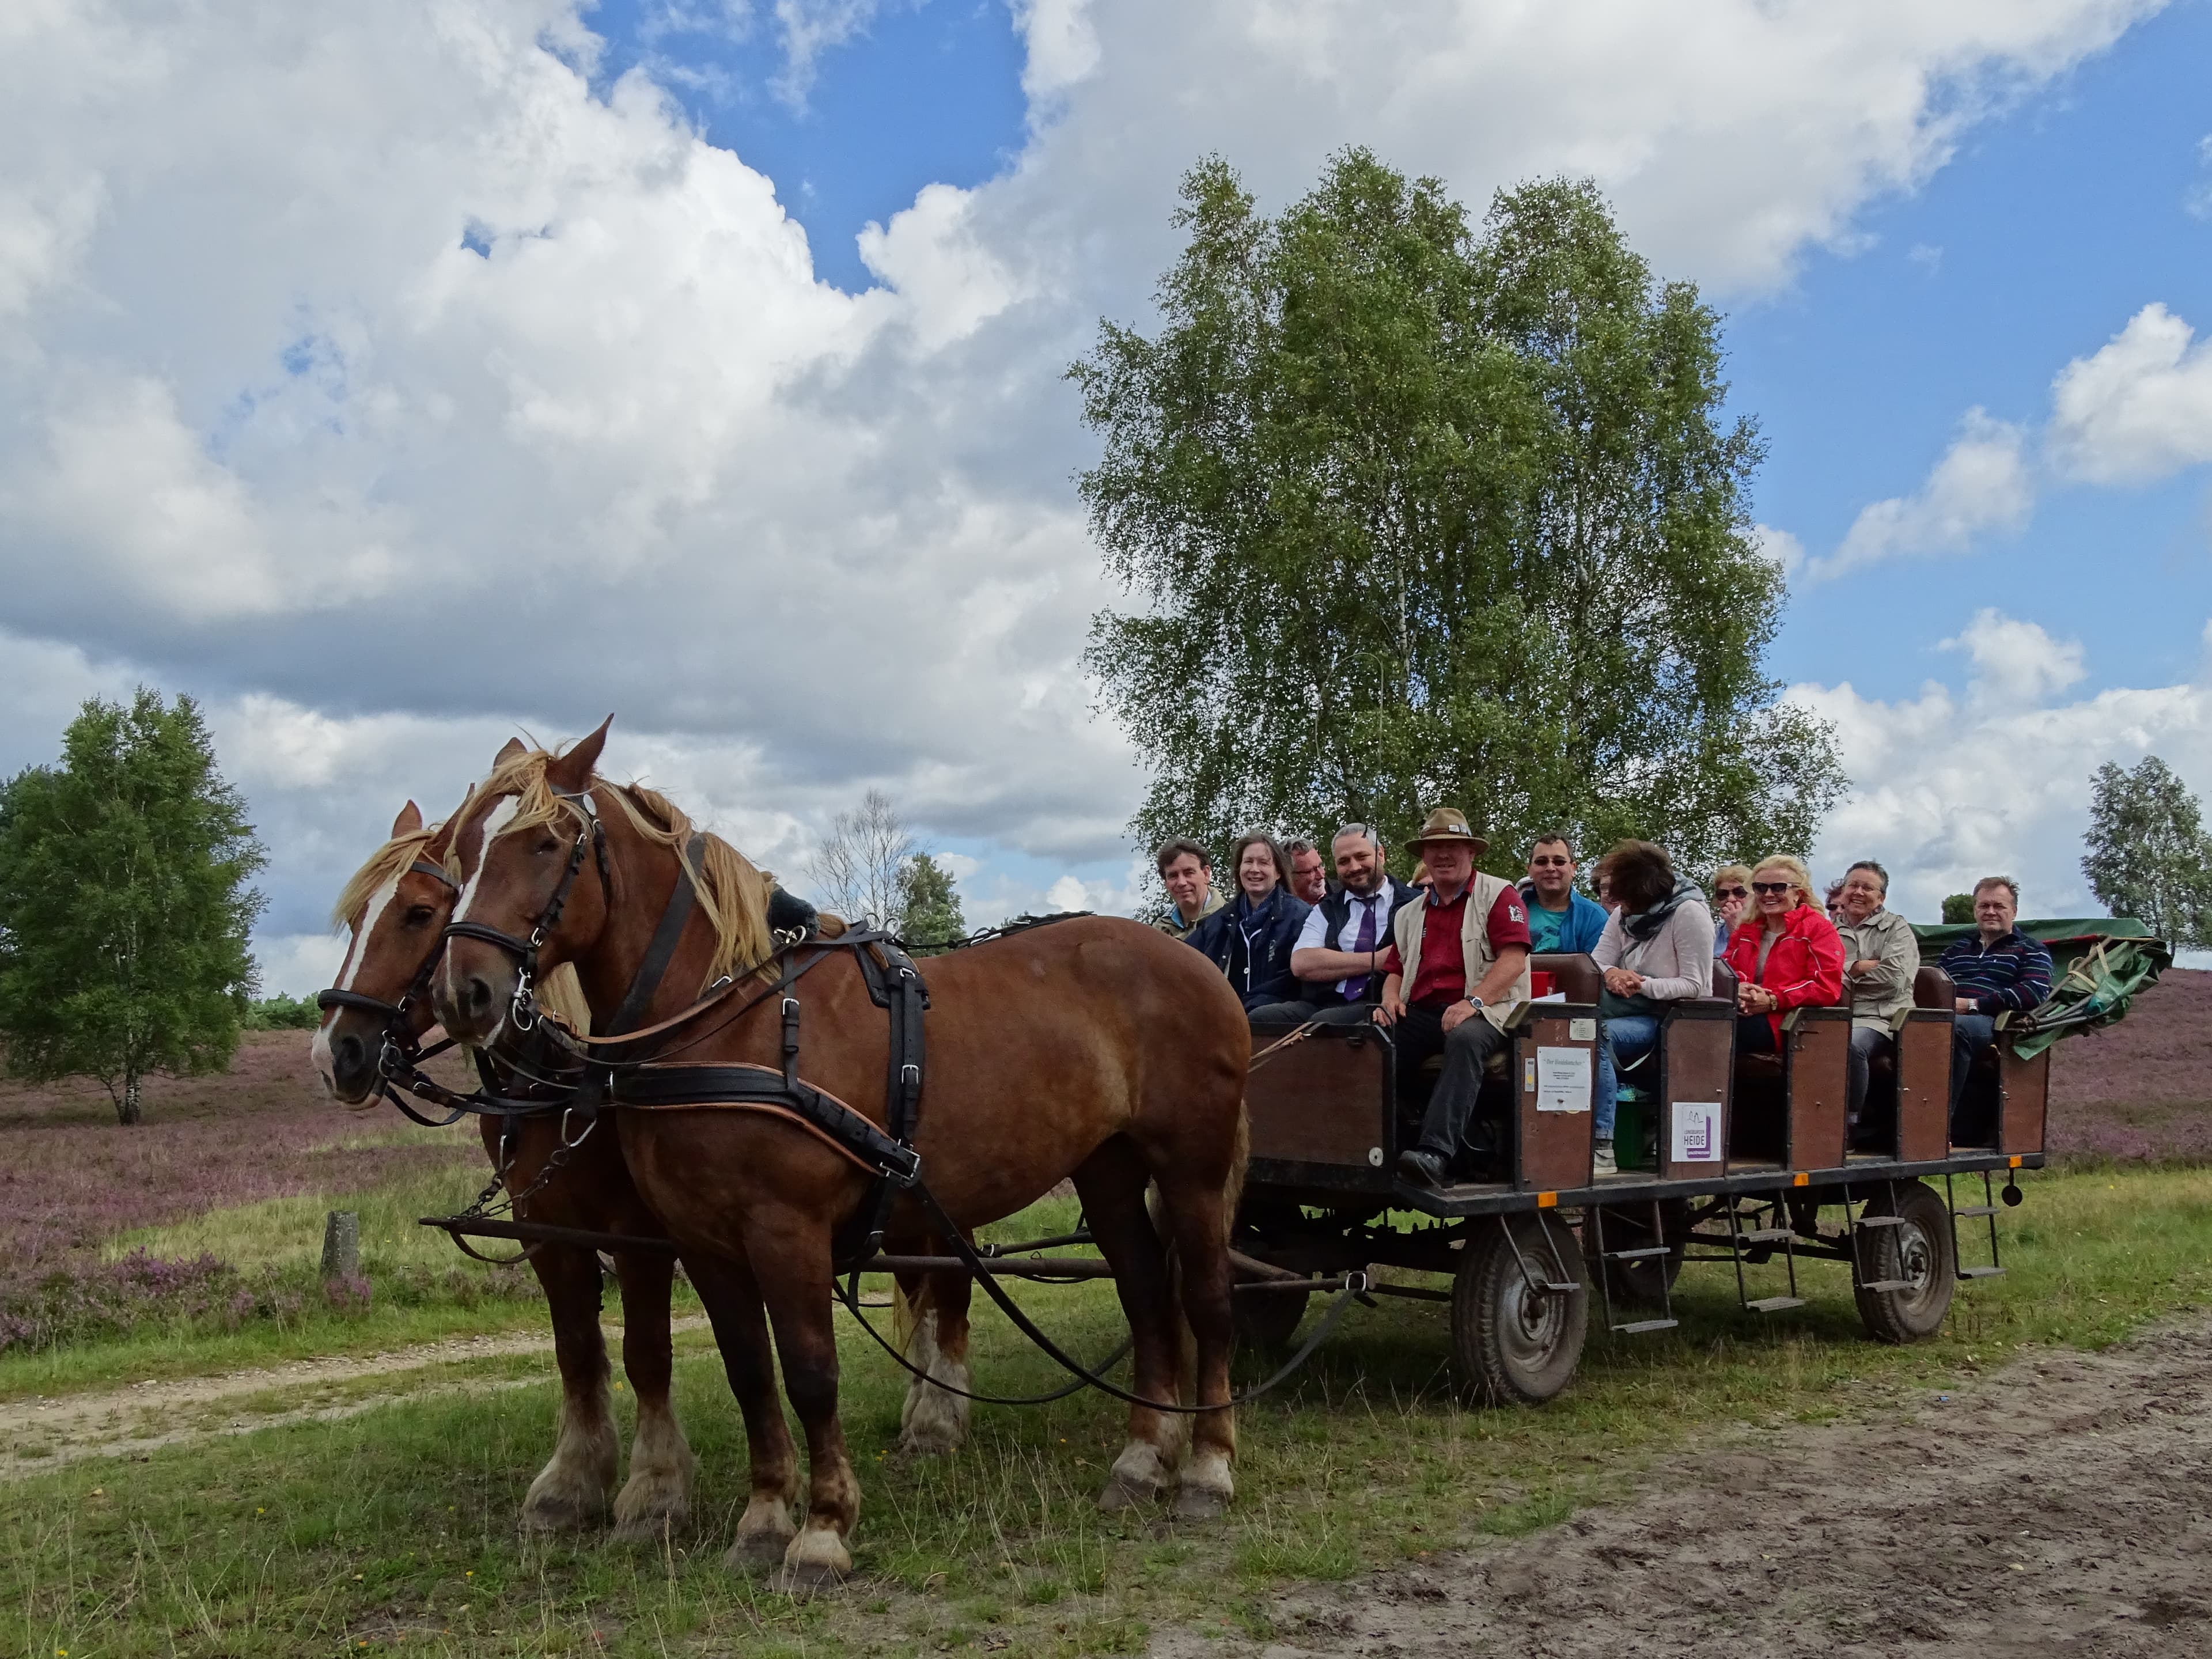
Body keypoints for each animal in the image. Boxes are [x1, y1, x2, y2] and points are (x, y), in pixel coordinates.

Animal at [431, 721, 1256, 1592]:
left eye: (547, 843)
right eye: (462, 851)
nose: (465, 993)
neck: (732, 1019)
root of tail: (1190, 959)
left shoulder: (785, 1230)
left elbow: (809, 1371)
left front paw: (822, 1531)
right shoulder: (703, 1241)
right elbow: (750, 1373)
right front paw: (764, 1519)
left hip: (1193, 1170)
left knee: (1206, 1299)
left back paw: (1207, 1467)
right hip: (1108, 1170)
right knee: (1146, 1293)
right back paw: (1142, 1460)